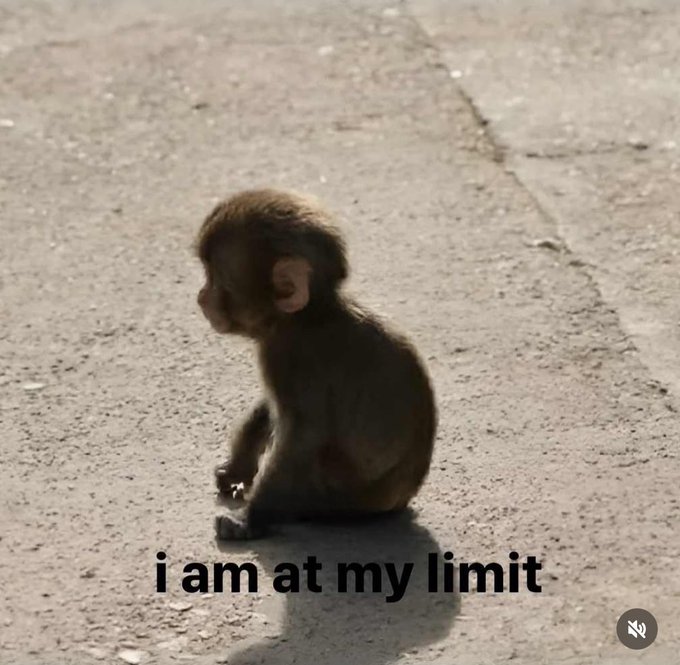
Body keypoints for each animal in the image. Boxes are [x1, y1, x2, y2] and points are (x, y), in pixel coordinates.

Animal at [195, 189, 436, 540]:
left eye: (216, 279)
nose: (201, 297)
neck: (306, 316)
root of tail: (399, 501)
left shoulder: (291, 357)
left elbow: (303, 435)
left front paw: (250, 520)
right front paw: (238, 468)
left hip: (339, 495)